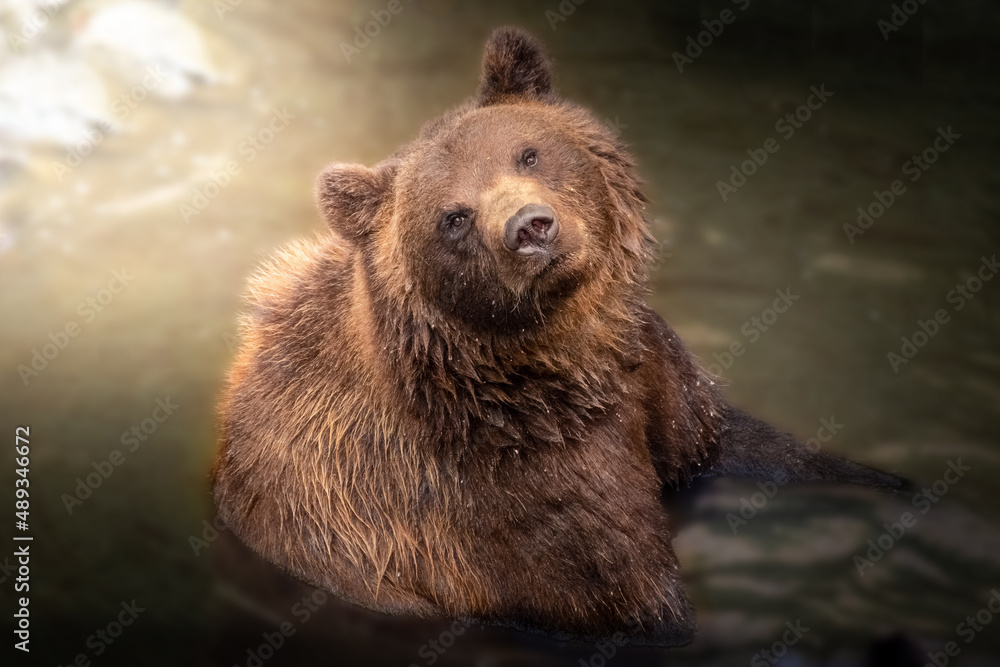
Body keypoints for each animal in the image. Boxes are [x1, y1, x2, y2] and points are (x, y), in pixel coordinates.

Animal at [213, 27, 906, 647]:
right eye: (453, 217)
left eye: (528, 152)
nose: (531, 226)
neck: (564, 358)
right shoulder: (509, 501)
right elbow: (636, 596)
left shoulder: (654, 379)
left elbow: (744, 443)